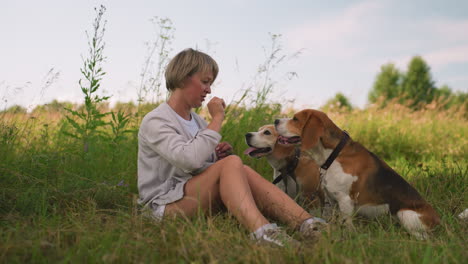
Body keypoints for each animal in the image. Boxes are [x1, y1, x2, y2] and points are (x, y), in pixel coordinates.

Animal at [274, 109, 438, 239]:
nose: (275, 120)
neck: (334, 154)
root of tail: (438, 221)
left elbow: (345, 223)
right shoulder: (330, 199)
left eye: (295, 119)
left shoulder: (345, 200)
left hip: (405, 214)